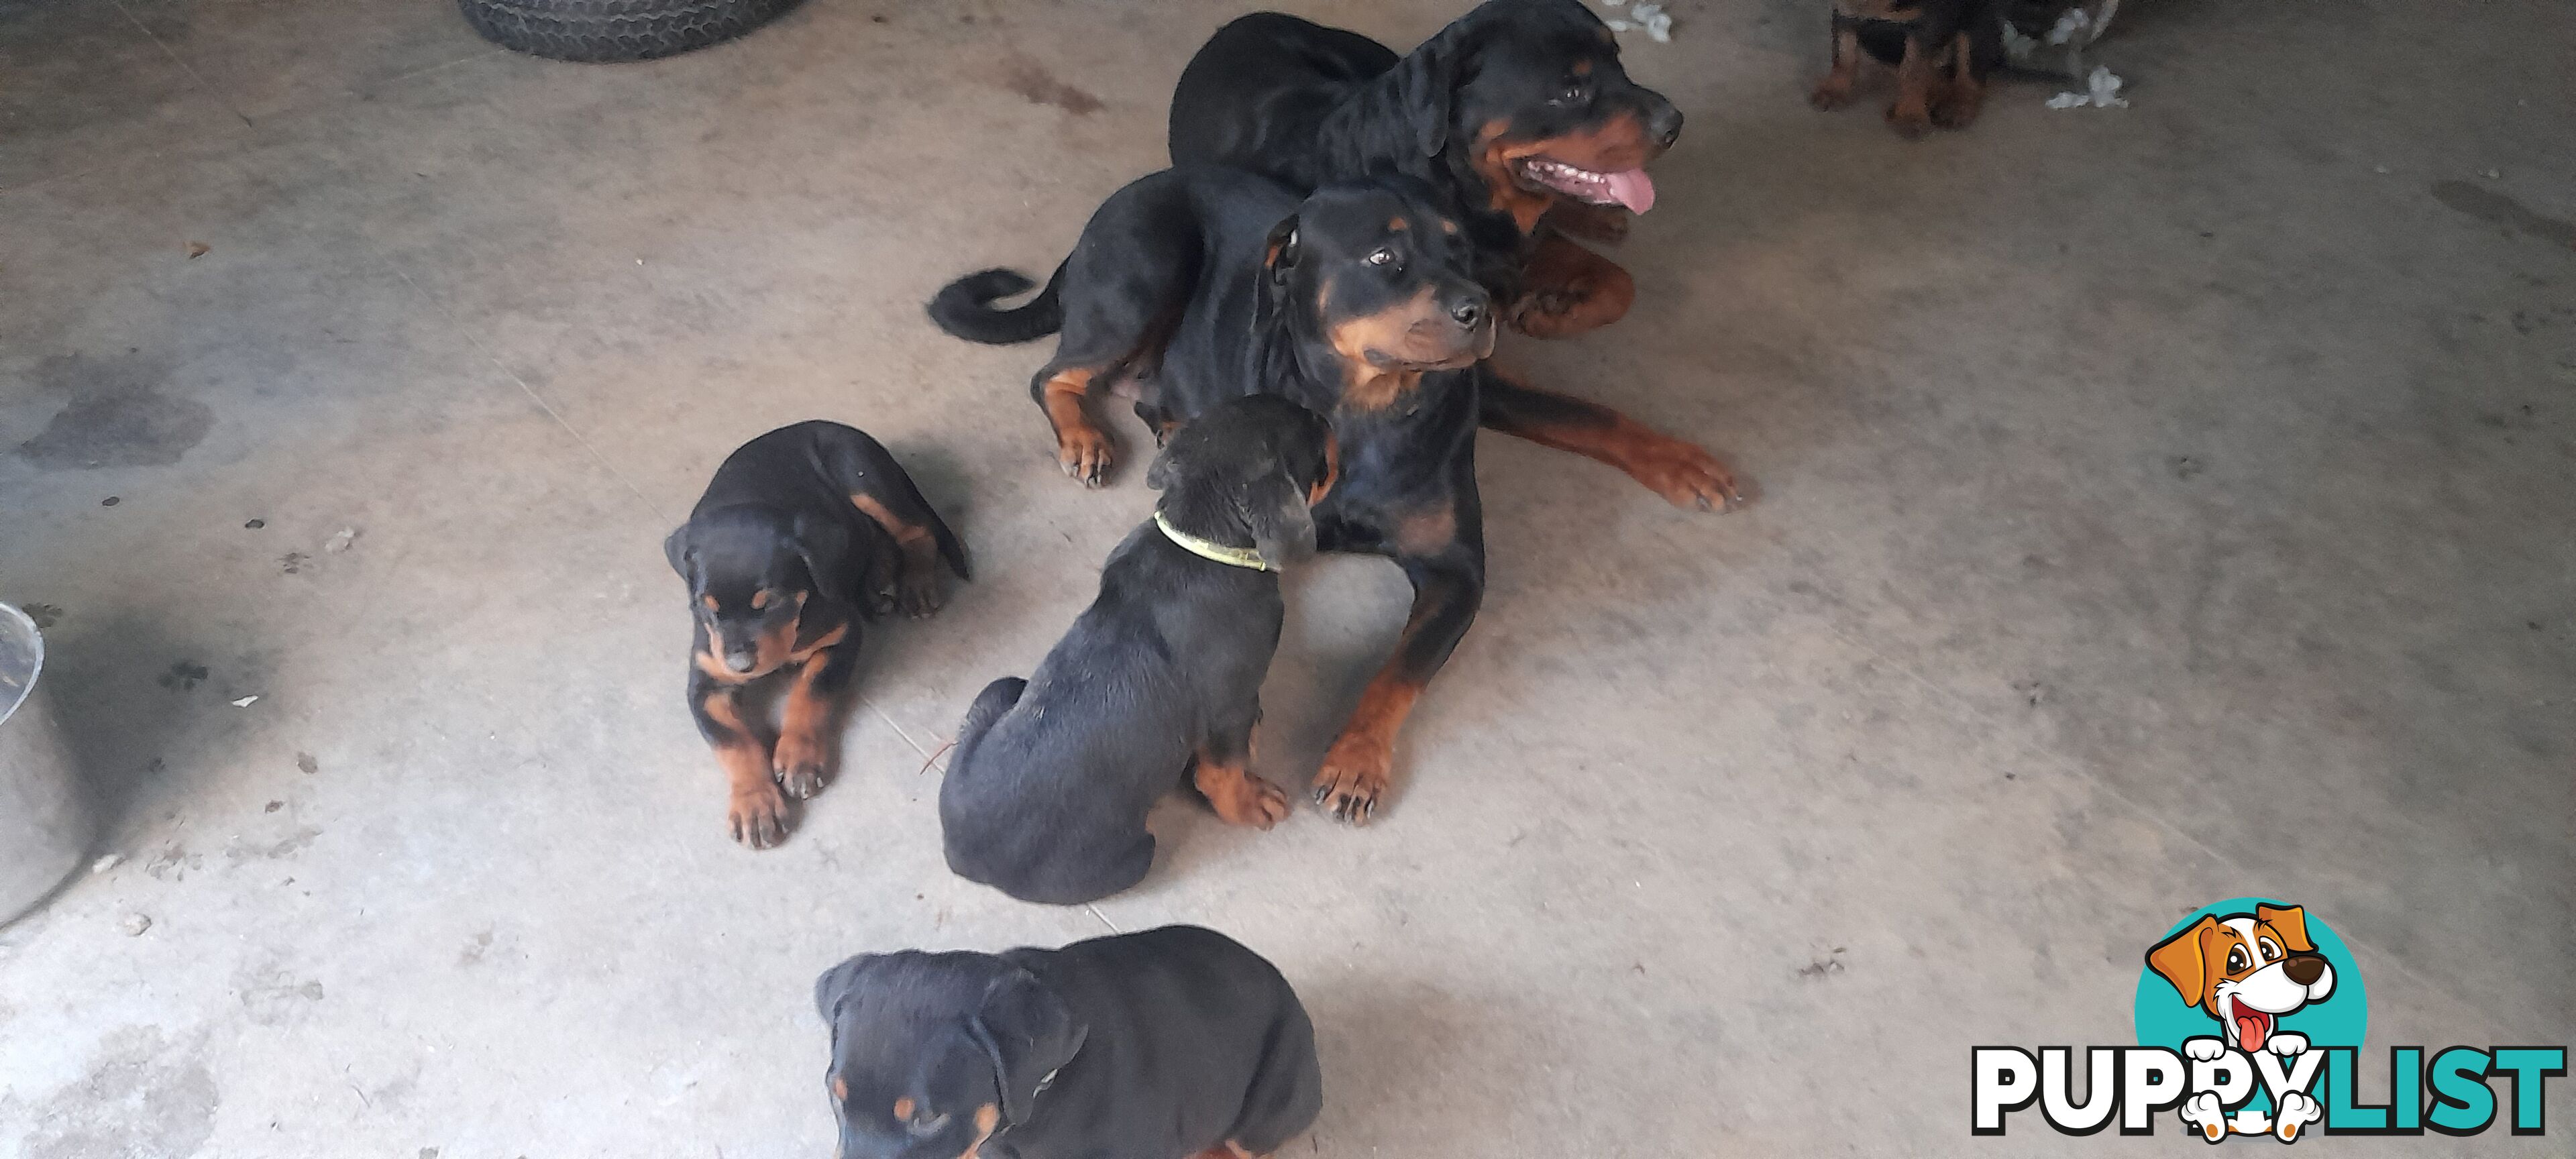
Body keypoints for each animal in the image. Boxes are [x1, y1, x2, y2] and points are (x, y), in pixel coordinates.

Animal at [669, 419, 968, 844]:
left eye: (771, 603)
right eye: (705, 606)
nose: (741, 666)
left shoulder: (841, 636)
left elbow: (811, 690)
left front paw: (799, 758)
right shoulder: (706, 680)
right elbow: (732, 741)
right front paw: (755, 804)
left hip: (861, 475)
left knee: (914, 531)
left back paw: (916, 584)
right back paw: (878, 585)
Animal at [948, 399, 1350, 906]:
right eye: (1315, 437)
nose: (1333, 420)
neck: (1203, 539)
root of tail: (962, 857)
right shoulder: (1232, 699)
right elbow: (1224, 770)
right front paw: (1249, 803)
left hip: (1000, 689)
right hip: (1137, 855)